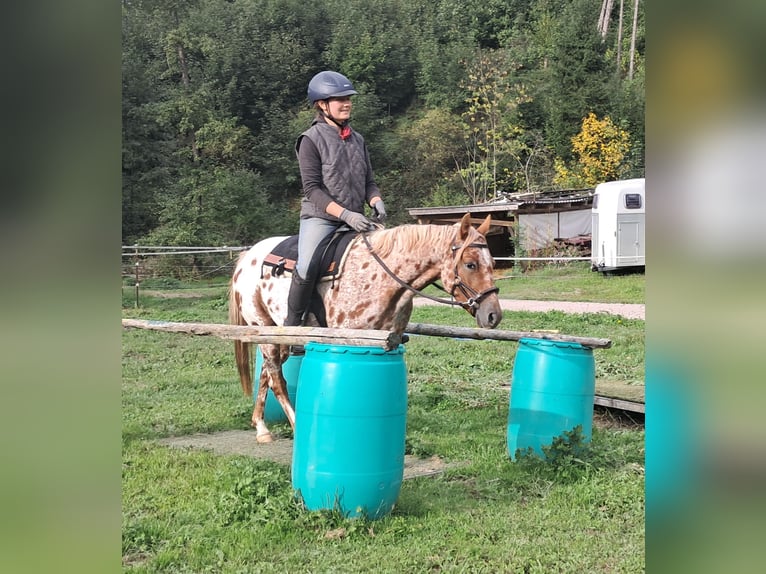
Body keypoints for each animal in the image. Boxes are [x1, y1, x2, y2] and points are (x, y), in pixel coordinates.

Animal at [228, 213, 503, 442]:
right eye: (470, 264)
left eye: (492, 262)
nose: (493, 315)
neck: (381, 278)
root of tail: (247, 257)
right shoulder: (346, 341)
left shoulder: (388, 342)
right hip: (264, 329)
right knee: (276, 379)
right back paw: (291, 427)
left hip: (278, 337)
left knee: (266, 373)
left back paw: (261, 426)